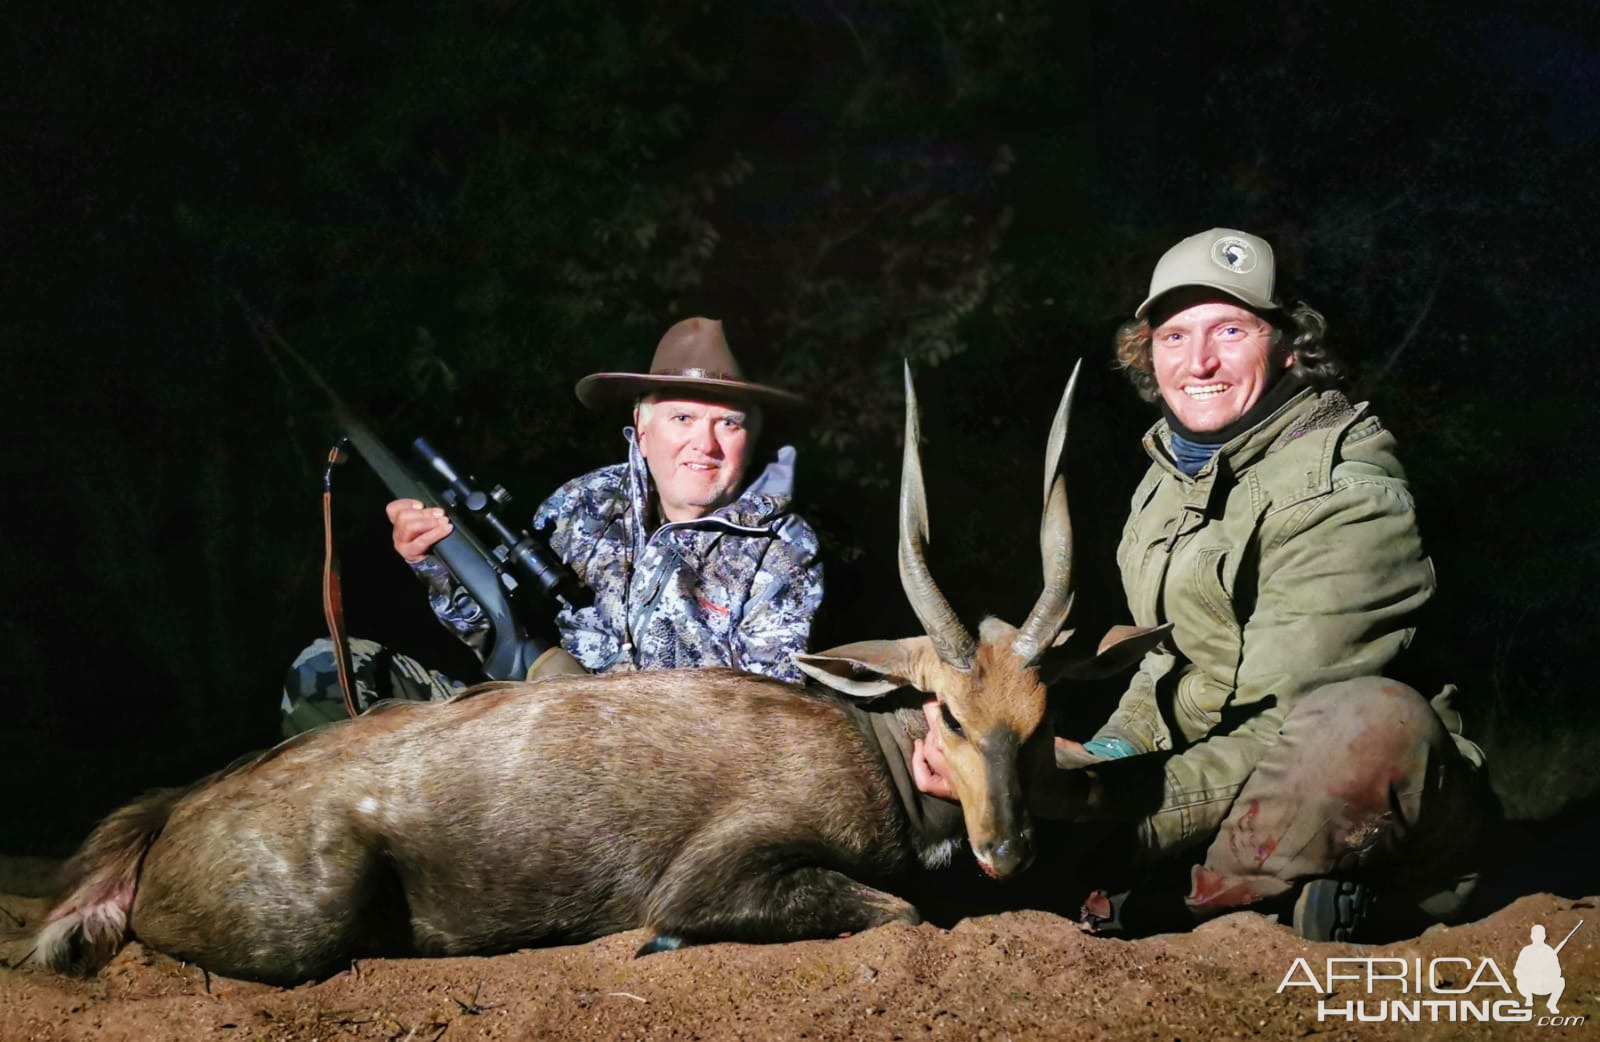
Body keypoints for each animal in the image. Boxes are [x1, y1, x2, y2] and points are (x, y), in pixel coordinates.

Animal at [34, 364, 1164, 985]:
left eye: (1039, 715)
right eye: (946, 713)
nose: (1008, 850)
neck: (867, 746)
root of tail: (169, 816)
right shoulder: (713, 875)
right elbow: (895, 911)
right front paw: (658, 948)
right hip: (311, 913)